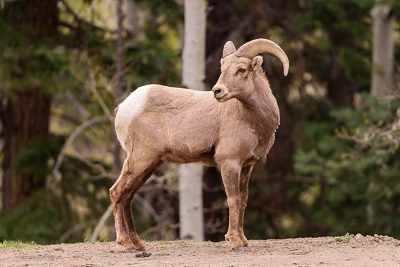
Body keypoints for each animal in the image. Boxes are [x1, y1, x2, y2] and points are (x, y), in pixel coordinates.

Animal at [111, 38, 290, 252]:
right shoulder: (229, 163)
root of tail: (124, 108)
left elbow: (243, 199)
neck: (253, 123)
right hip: (141, 160)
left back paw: (138, 245)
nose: (217, 91)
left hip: (149, 164)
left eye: (241, 69)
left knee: (127, 196)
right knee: (117, 192)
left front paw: (244, 241)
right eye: (222, 68)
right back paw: (127, 244)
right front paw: (236, 243)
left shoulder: (247, 167)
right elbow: (233, 199)